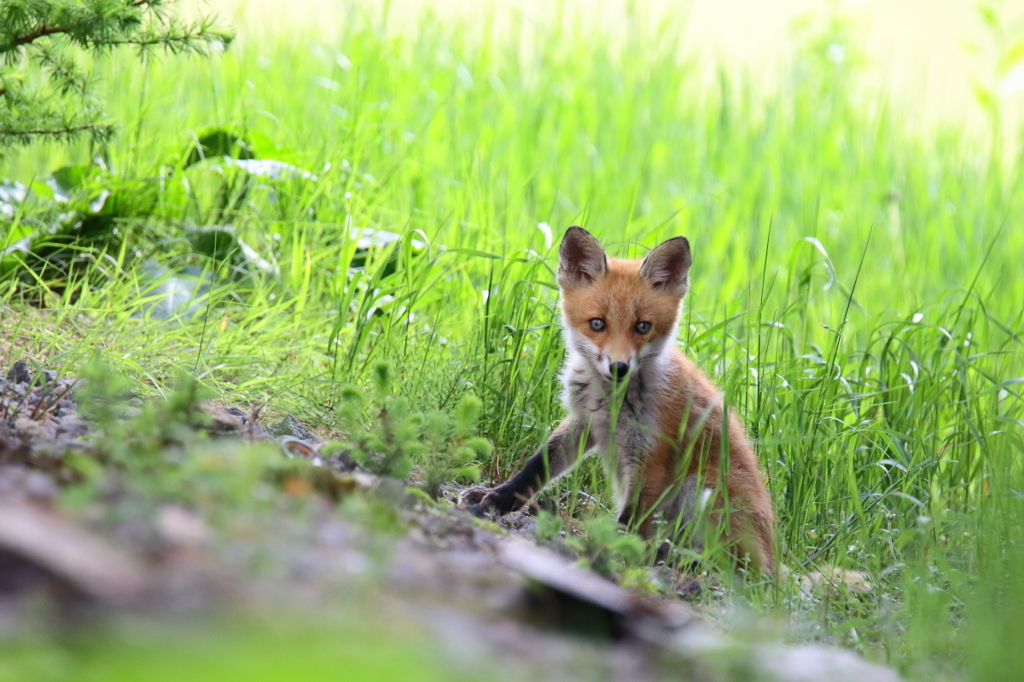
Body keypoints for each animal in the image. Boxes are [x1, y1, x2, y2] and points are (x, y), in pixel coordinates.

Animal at [458, 225, 774, 569]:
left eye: (643, 326)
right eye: (597, 323)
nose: (619, 367)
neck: (609, 403)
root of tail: (774, 566)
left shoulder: (652, 458)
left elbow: (628, 523)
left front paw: (599, 555)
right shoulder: (585, 422)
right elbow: (537, 466)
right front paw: (497, 499)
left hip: (701, 487)